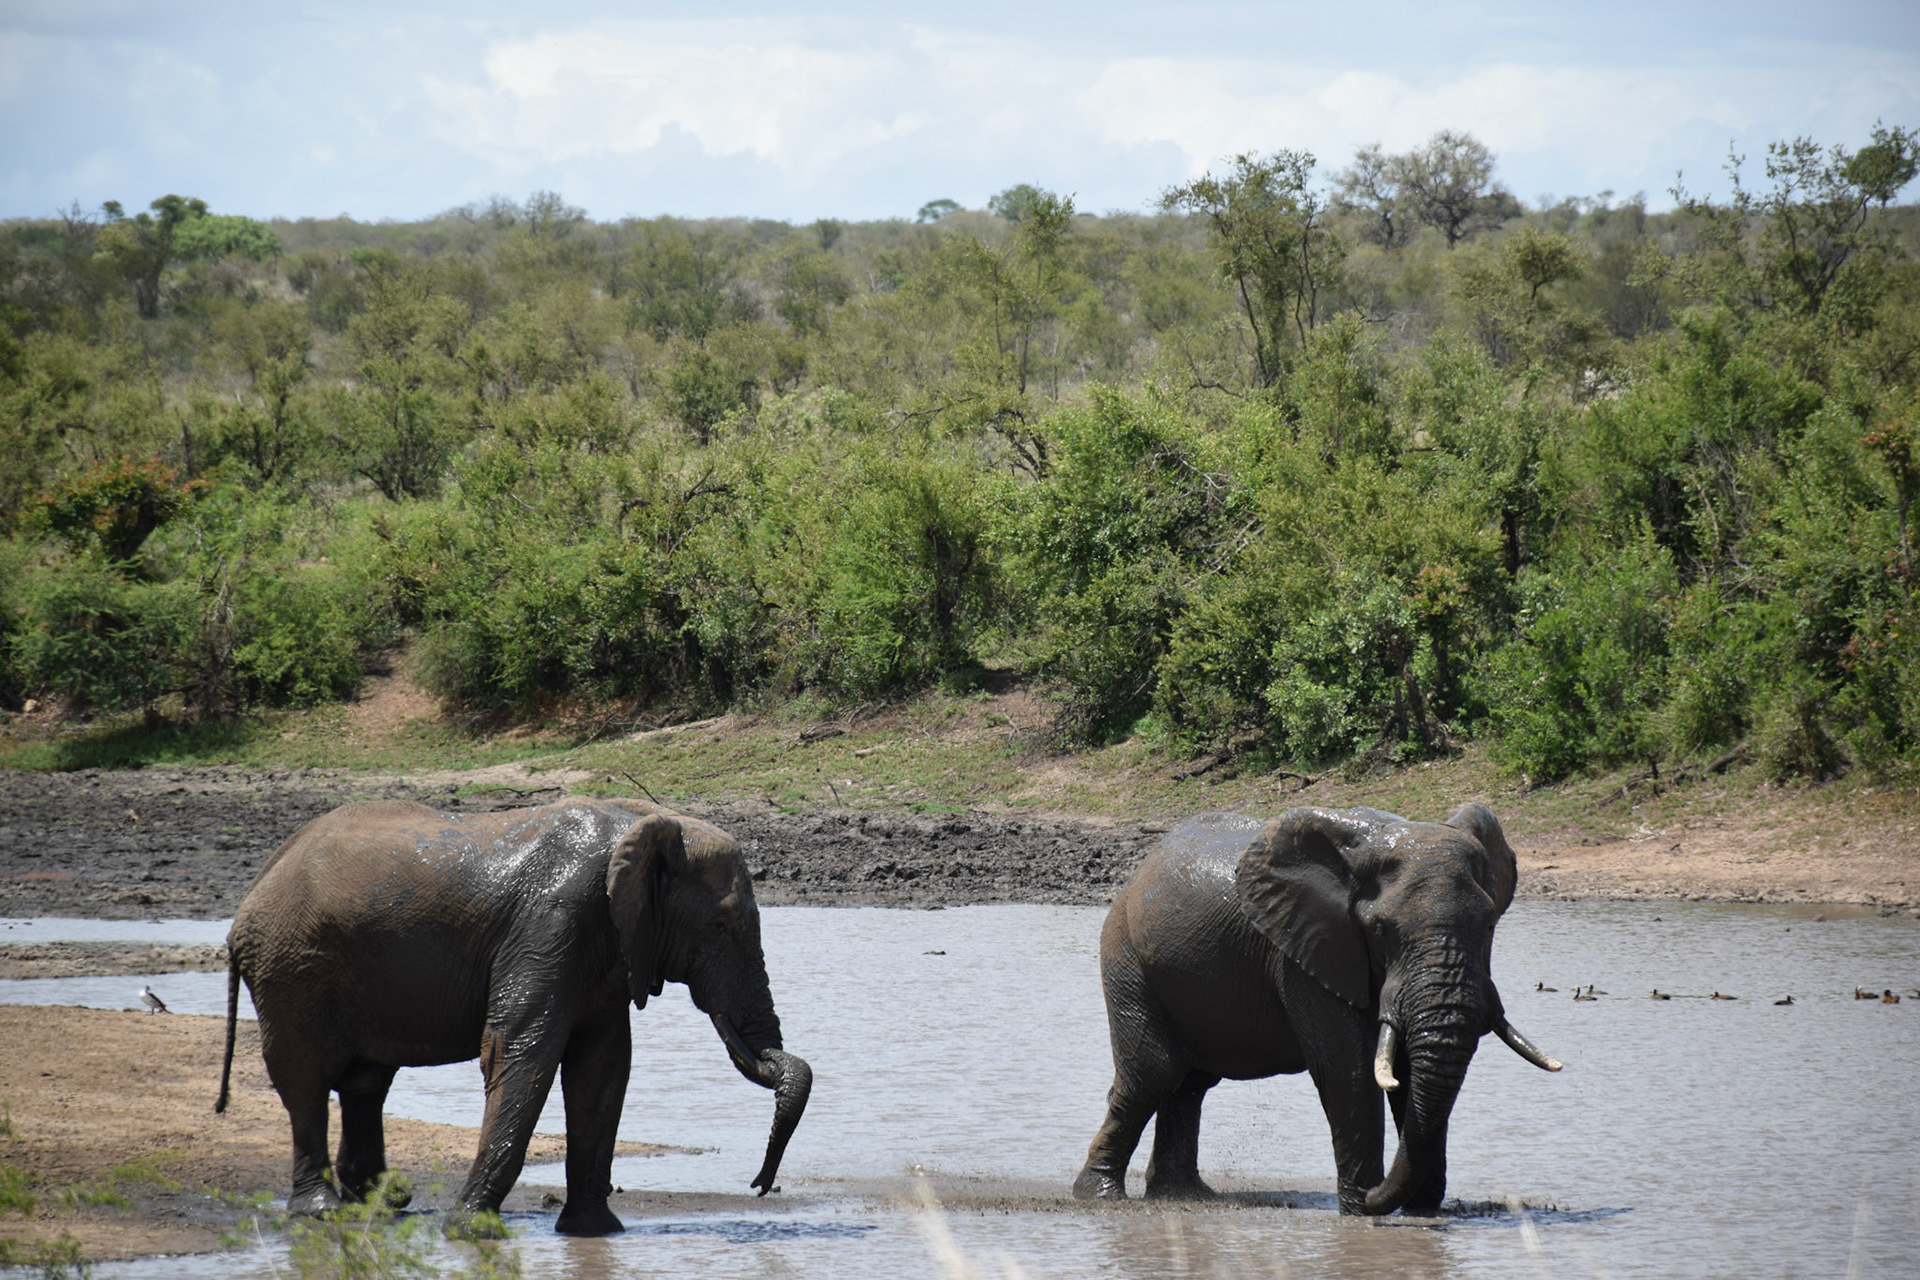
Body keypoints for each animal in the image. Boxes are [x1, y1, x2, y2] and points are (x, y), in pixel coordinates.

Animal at [215, 797, 811, 1236]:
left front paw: (596, 1233)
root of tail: (251, 896)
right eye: (719, 927)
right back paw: (322, 1212)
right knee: (305, 1081)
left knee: (366, 1082)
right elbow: (522, 1049)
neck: (637, 822)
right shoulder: (549, 923)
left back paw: (384, 1201)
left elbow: (602, 1069)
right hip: (291, 968)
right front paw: (469, 1231)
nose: (760, 1184)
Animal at [1073, 803, 1560, 1215]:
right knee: (1154, 1073)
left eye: (1489, 924)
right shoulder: (1303, 949)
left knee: (1189, 1084)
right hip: (1125, 954)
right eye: (1380, 930)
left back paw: (1183, 1196)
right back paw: (1100, 1198)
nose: (1378, 1194)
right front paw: (1362, 1214)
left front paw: (1421, 1214)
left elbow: (1406, 1072)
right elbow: (1350, 1070)